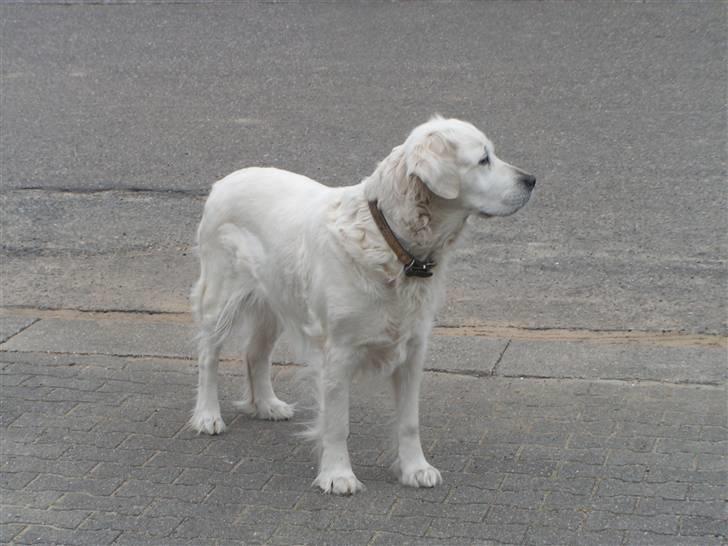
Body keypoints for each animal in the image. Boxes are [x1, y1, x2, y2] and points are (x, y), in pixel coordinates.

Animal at [188, 117, 536, 496]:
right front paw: (338, 475)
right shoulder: (338, 353)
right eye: (483, 159)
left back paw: (267, 405)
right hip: (221, 296)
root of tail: (222, 182)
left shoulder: (413, 349)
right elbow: (337, 423)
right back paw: (207, 415)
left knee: (255, 353)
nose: (532, 180)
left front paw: (415, 469)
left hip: (275, 298)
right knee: (208, 355)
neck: (391, 243)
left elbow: (409, 422)